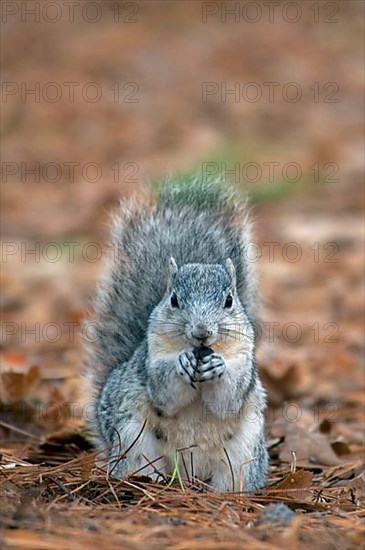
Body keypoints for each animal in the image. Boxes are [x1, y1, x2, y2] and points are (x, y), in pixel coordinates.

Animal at [84, 177, 268, 492]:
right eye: (174, 300)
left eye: (229, 300)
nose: (201, 332)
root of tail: (191, 474)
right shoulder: (150, 359)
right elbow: (164, 394)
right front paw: (180, 362)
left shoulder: (245, 362)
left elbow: (228, 401)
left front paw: (218, 366)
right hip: (133, 440)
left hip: (242, 455)